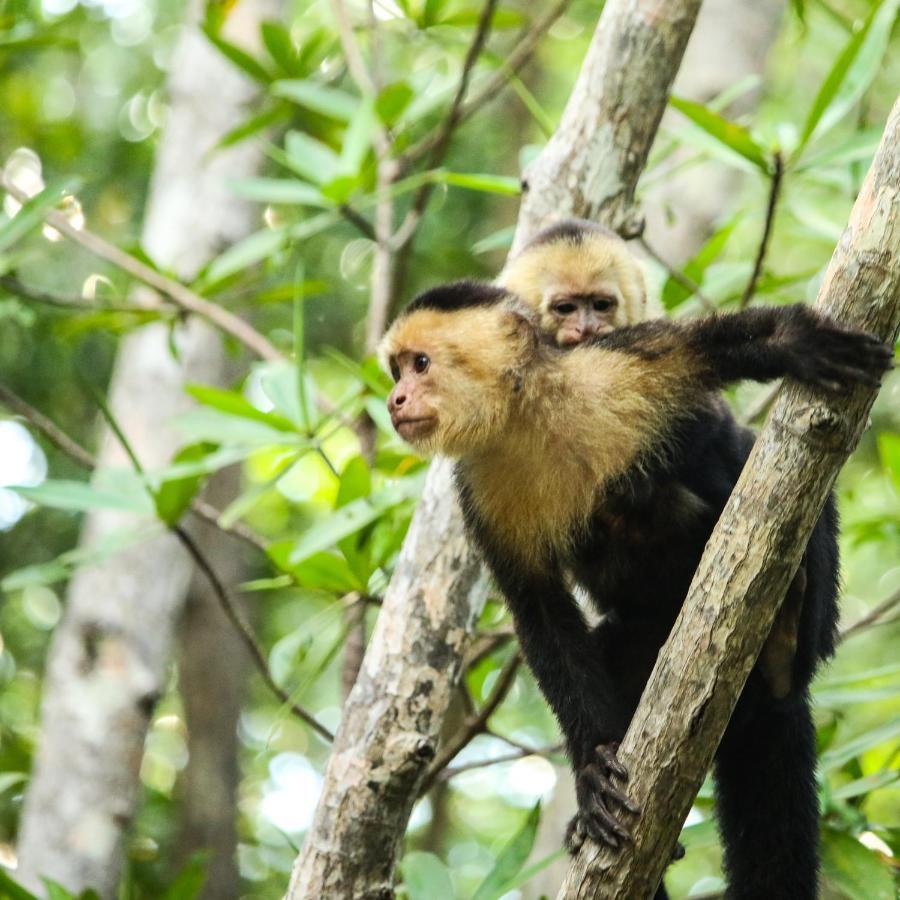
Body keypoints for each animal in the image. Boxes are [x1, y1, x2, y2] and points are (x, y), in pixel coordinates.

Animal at [376, 220, 888, 900]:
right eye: (396, 369)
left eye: (421, 364)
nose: (396, 398)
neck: (527, 414)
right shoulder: (478, 490)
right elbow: (540, 611)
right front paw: (594, 766)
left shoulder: (617, 364)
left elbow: (705, 355)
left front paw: (794, 341)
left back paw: (785, 647)